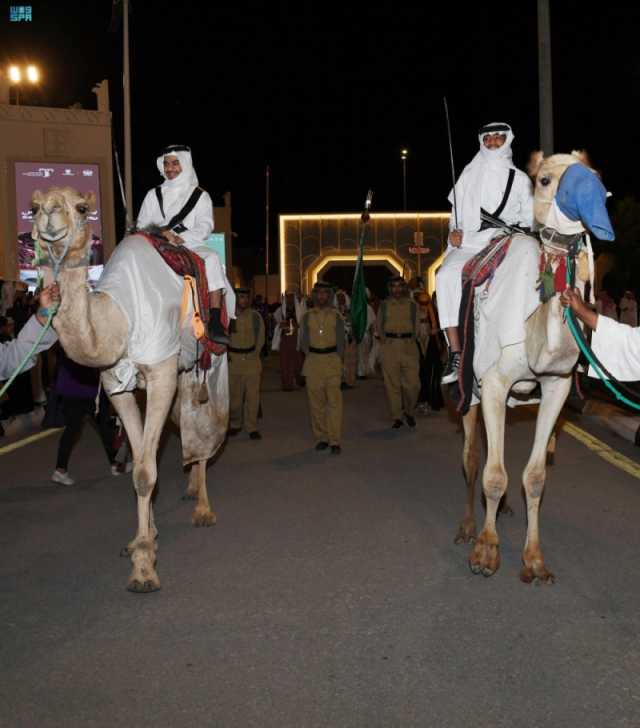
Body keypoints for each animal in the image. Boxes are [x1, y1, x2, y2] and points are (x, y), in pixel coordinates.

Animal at [32, 188, 229, 592]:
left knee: (203, 427)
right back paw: (190, 488)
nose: (49, 216)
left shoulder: (161, 371)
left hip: (205, 363)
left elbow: (143, 472)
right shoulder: (116, 384)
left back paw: (203, 508)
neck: (121, 318)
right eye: (34, 205)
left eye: (81, 207)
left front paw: (143, 571)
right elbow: (141, 459)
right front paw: (144, 540)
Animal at [452, 151, 612, 584]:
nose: (596, 214)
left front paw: (535, 561)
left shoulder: (556, 386)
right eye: (544, 180)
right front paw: (485, 553)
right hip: (469, 390)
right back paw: (467, 527)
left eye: (596, 175)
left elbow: (536, 476)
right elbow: (492, 474)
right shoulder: (492, 382)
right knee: (471, 457)